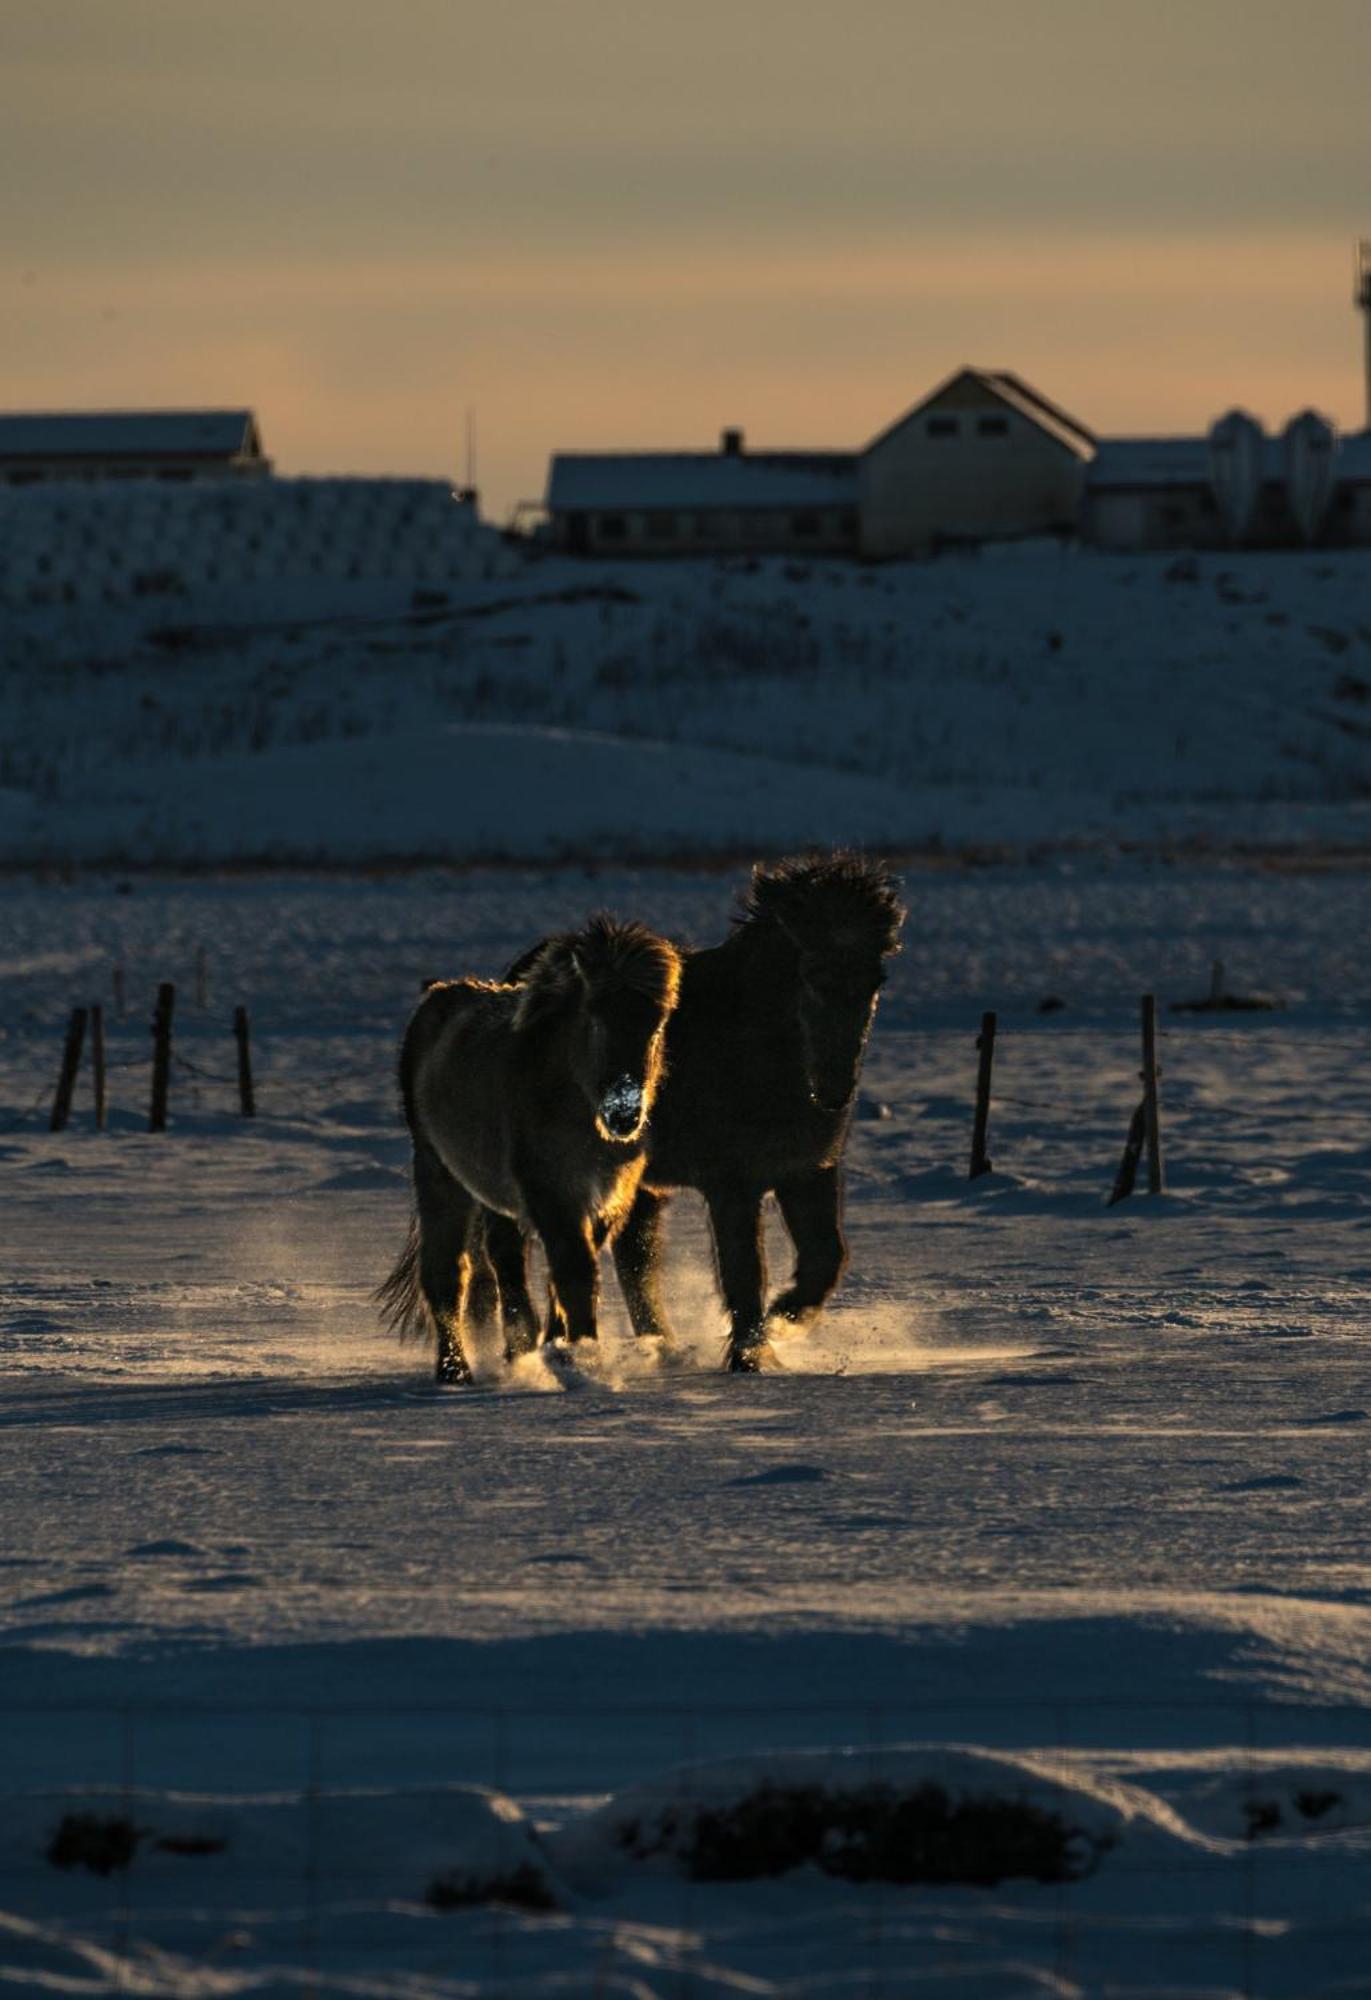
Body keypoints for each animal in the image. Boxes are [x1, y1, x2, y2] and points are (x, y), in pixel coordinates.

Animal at [375, 916, 683, 1384]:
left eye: (657, 1024)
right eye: (595, 1017)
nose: (625, 1113)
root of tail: (438, 995)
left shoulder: (606, 1197)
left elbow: (568, 1273)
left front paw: (561, 1348)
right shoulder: (551, 1192)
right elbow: (575, 1272)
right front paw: (585, 1361)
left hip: (492, 1196)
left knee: (504, 1261)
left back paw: (516, 1349)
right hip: (438, 1174)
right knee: (448, 1271)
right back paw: (455, 1370)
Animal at [485, 844, 911, 1376]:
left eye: (877, 979)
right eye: (811, 975)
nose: (835, 1089)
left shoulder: (808, 1171)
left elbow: (825, 1257)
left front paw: (783, 1321)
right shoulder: (733, 1184)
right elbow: (744, 1270)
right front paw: (751, 1354)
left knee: (631, 1255)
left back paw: (654, 1346)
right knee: (510, 1253)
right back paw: (522, 1353)